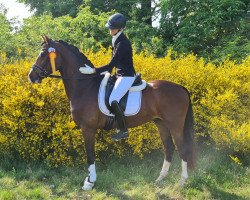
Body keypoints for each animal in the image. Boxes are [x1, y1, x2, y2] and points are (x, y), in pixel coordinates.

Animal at [27, 36, 195, 191]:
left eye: (43, 54)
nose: (31, 76)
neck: (85, 86)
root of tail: (181, 88)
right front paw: (90, 180)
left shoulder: (88, 128)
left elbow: (90, 155)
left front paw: (90, 182)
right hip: (161, 123)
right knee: (168, 148)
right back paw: (160, 179)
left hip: (175, 125)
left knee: (182, 149)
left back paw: (182, 182)